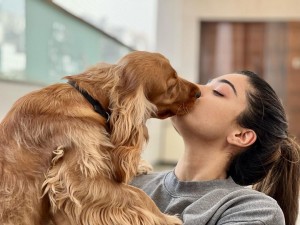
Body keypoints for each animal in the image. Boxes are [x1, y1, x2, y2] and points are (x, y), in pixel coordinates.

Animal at [0, 51, 202, 225]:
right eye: (171, 85)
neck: (90, 100)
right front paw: (166, 219)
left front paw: (139, 165)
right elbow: (137, 195)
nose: (199, 93)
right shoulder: (77, 180)